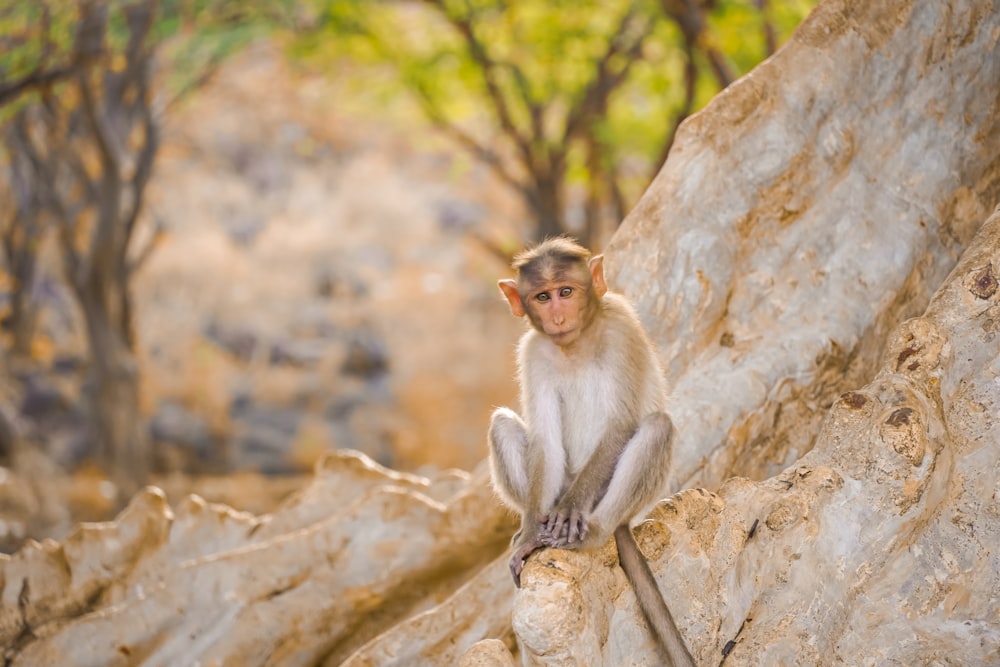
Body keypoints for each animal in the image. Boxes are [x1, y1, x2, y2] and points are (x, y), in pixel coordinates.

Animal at [486, 237, 692, 664]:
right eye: (542, 296)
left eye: (566, 292)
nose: (557, 316)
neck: (575, 343)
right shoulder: (532, 351)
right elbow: (545, 441)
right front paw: (530, 535)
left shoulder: (622, 328)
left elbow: (620, 426)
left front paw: (566, 515)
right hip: (559, 483)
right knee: (502, 425)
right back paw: (531, 529)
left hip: (613, 498)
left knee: (656, 427)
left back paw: (591, 532)